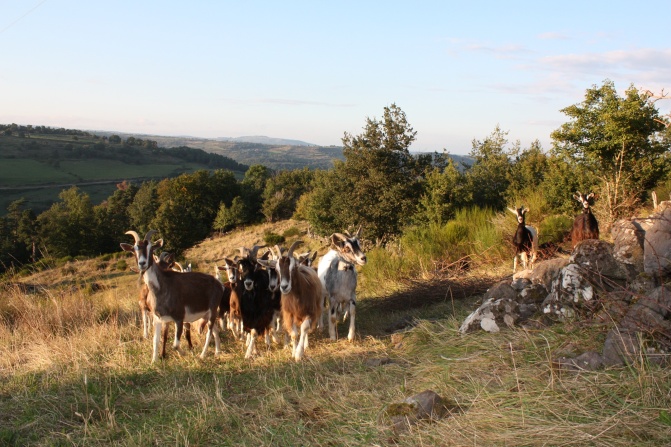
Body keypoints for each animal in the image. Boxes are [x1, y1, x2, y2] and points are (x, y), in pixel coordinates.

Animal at [121, 231, 226, 364]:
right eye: (134, 249)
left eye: (151, 248)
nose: (142, 263)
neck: (161, 289)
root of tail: (219, 284)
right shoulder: (158, 319)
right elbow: (155, 341)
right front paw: (154, 361)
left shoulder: (179, 318)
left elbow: (175, 345)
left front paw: (184, 353)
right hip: (206, 314)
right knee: (215, 331)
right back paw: (217, 352)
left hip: (212, 310)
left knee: (209, 332)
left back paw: (202, 355)